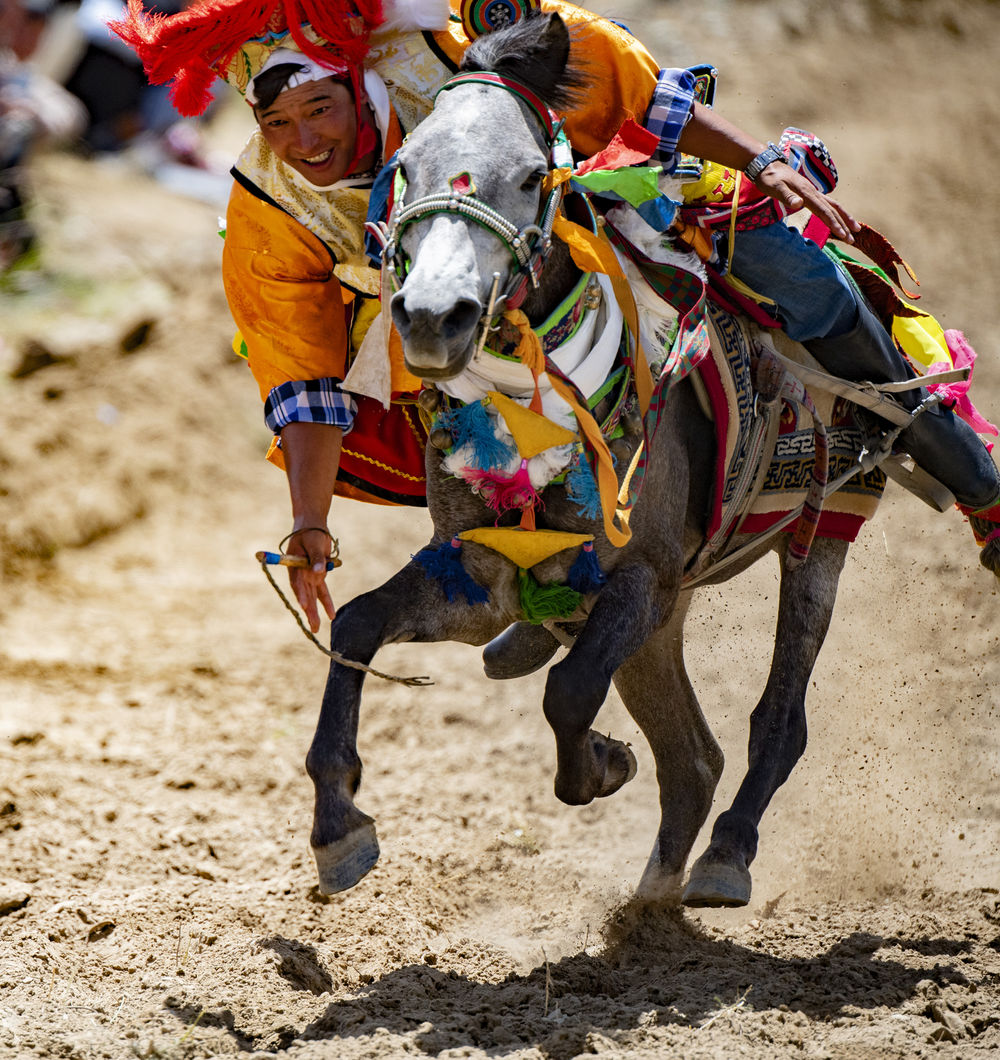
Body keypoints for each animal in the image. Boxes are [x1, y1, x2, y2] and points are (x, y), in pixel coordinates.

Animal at [309, 10, 873, 911]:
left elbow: (570, 692)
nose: (432, 316)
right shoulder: (485, 575)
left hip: (822, 532)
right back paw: (651, 901)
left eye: (532, 175)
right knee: (695, 758)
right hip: (662, 623)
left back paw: (725, 856)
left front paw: (602, 765)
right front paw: (339, 824)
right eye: (405, 166)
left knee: (775, 724)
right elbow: (357, 620)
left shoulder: (644, 574)